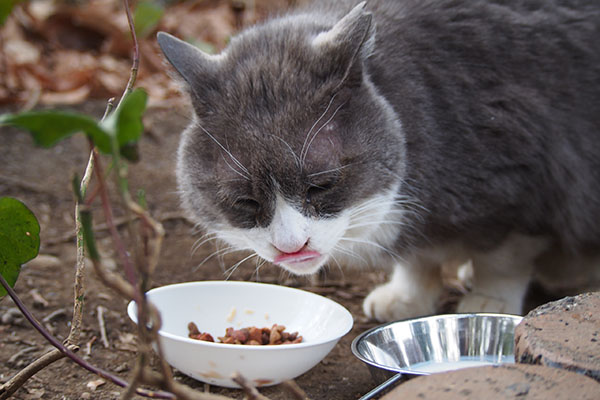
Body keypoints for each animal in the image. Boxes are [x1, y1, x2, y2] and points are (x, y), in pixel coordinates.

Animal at [158, 0, 600, 320]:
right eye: (245, 201)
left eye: (322, 184)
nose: (291, 248)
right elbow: (417, 260)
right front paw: (408, 297)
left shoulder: (529, 188)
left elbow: (504, 259)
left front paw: (490, 301)